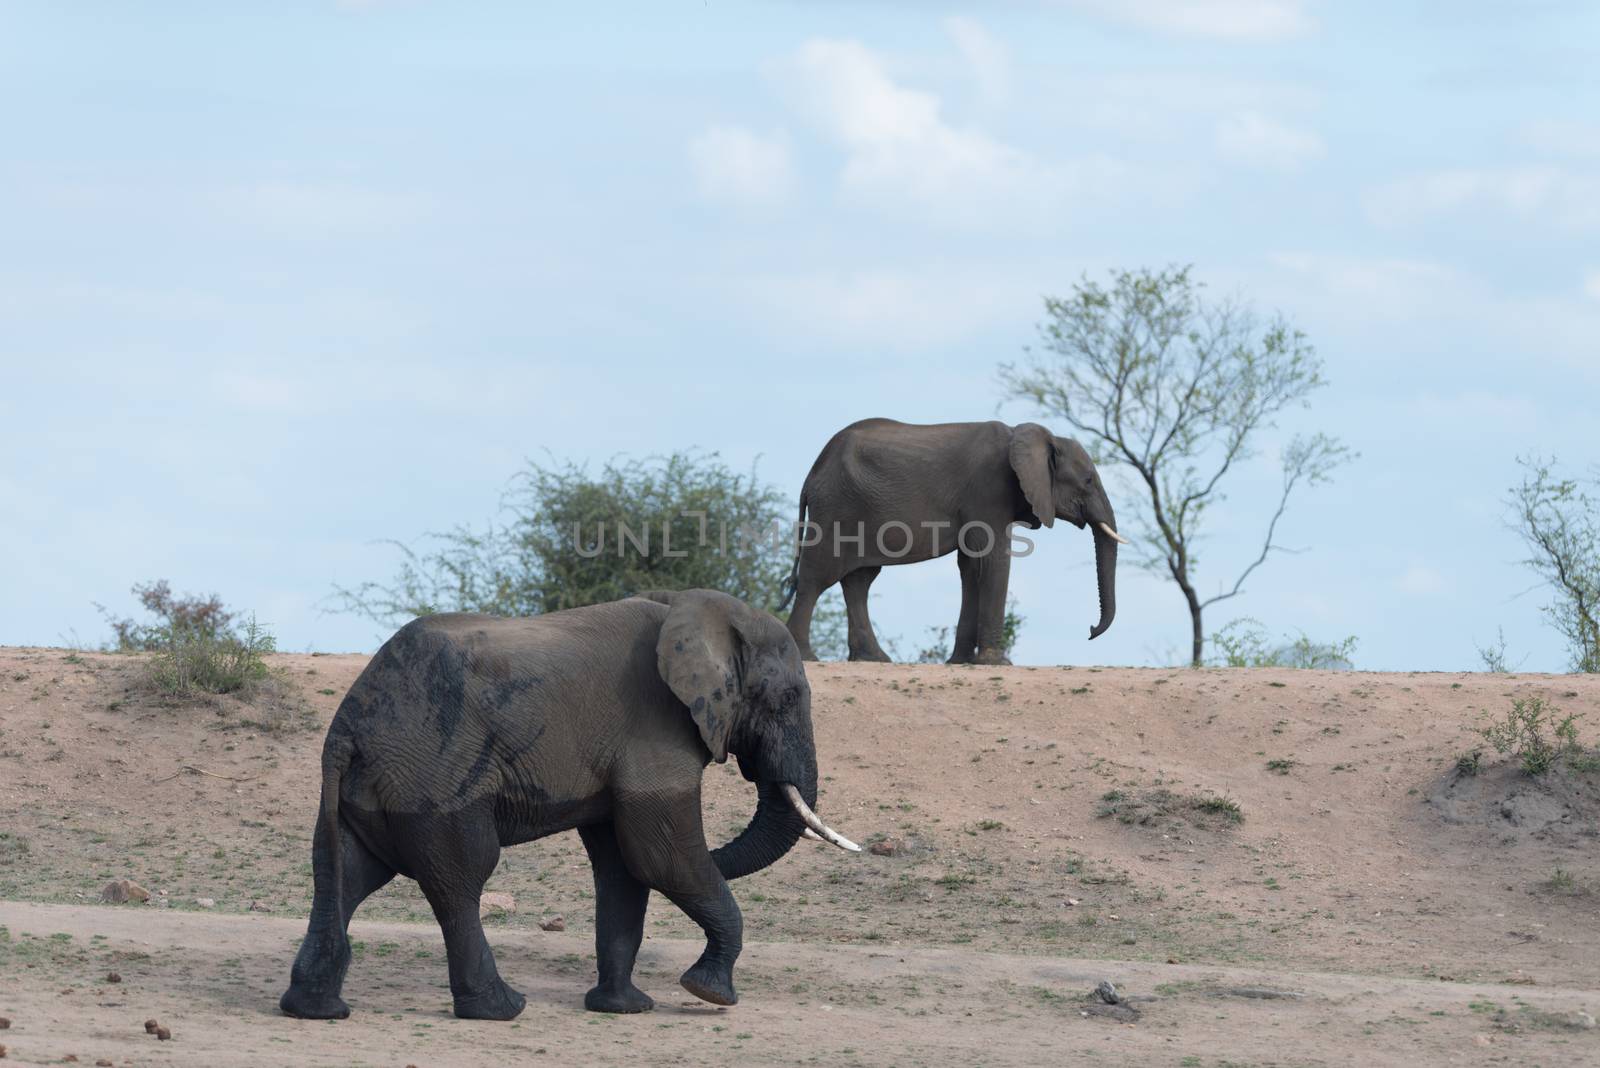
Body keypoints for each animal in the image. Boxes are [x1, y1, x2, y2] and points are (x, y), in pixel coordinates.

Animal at [286, 588, 864, 1023]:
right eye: (788, 698)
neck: (698, 613)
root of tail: (347, 725)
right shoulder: (655, 731)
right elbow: (660, 857)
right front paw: (709, 993)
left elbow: (624, 868)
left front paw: (623, 1009)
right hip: (432, 773)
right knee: (461, 878)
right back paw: (502, 1010)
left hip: (372, 785)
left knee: (346, 874)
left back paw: (315, 1010)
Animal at [777, 418, 1126, 661]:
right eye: (1088, 480)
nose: (1090, 631)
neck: (1027, 435)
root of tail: (812, 473)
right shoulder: (989, 489)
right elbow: (994, 559)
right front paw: (996, 663)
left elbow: (970, 566)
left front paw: (960, 661)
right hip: (835, 508)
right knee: (817, 576)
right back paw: (806, 655)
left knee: (858, 581)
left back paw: (873, 659)